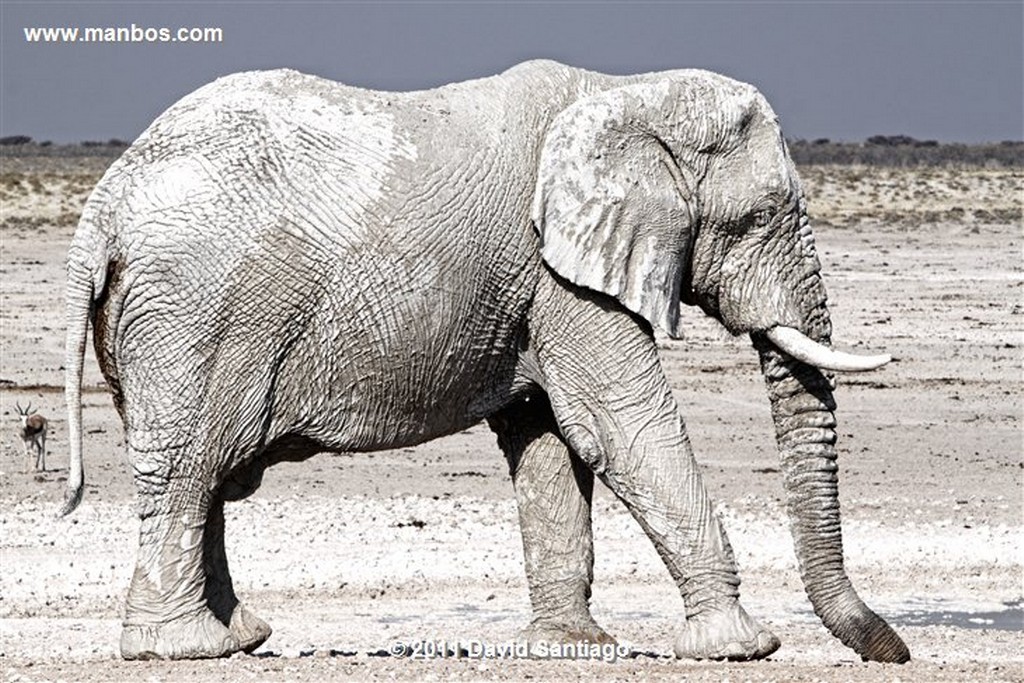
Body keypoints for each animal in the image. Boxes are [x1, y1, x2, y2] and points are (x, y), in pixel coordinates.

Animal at [59, 60, 909, 663]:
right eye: (758, 218)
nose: (894, 652)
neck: (628, 95)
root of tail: (103, 205)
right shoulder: (561, 274)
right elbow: (619, 426)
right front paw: (741, 645)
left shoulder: (535, 286)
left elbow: (547, 440)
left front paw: (573, 647)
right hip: (196, 312)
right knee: (189, 471)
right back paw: (185, 648)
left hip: (158, 316)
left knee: (199, 478)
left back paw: (239, 639)